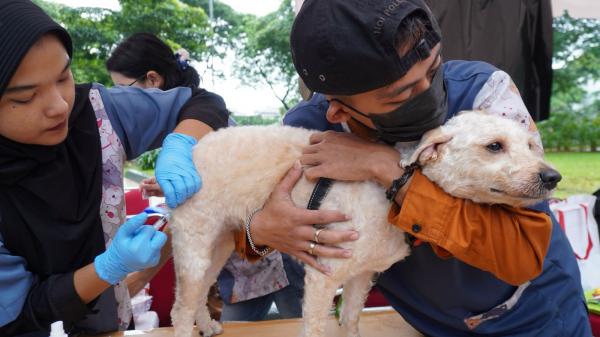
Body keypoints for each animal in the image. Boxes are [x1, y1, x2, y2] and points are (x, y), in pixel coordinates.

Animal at [168, 111, 556, 336]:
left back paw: (208, 325)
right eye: (494, 146)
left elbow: (352, 319)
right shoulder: (324, 276)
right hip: (194, 245)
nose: (553, 177)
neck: (388, 195)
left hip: (218, 245)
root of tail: (194, 149)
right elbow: (315, 327)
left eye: (531, 144)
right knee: (180, 308)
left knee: (199, 295)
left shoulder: (360, 276)